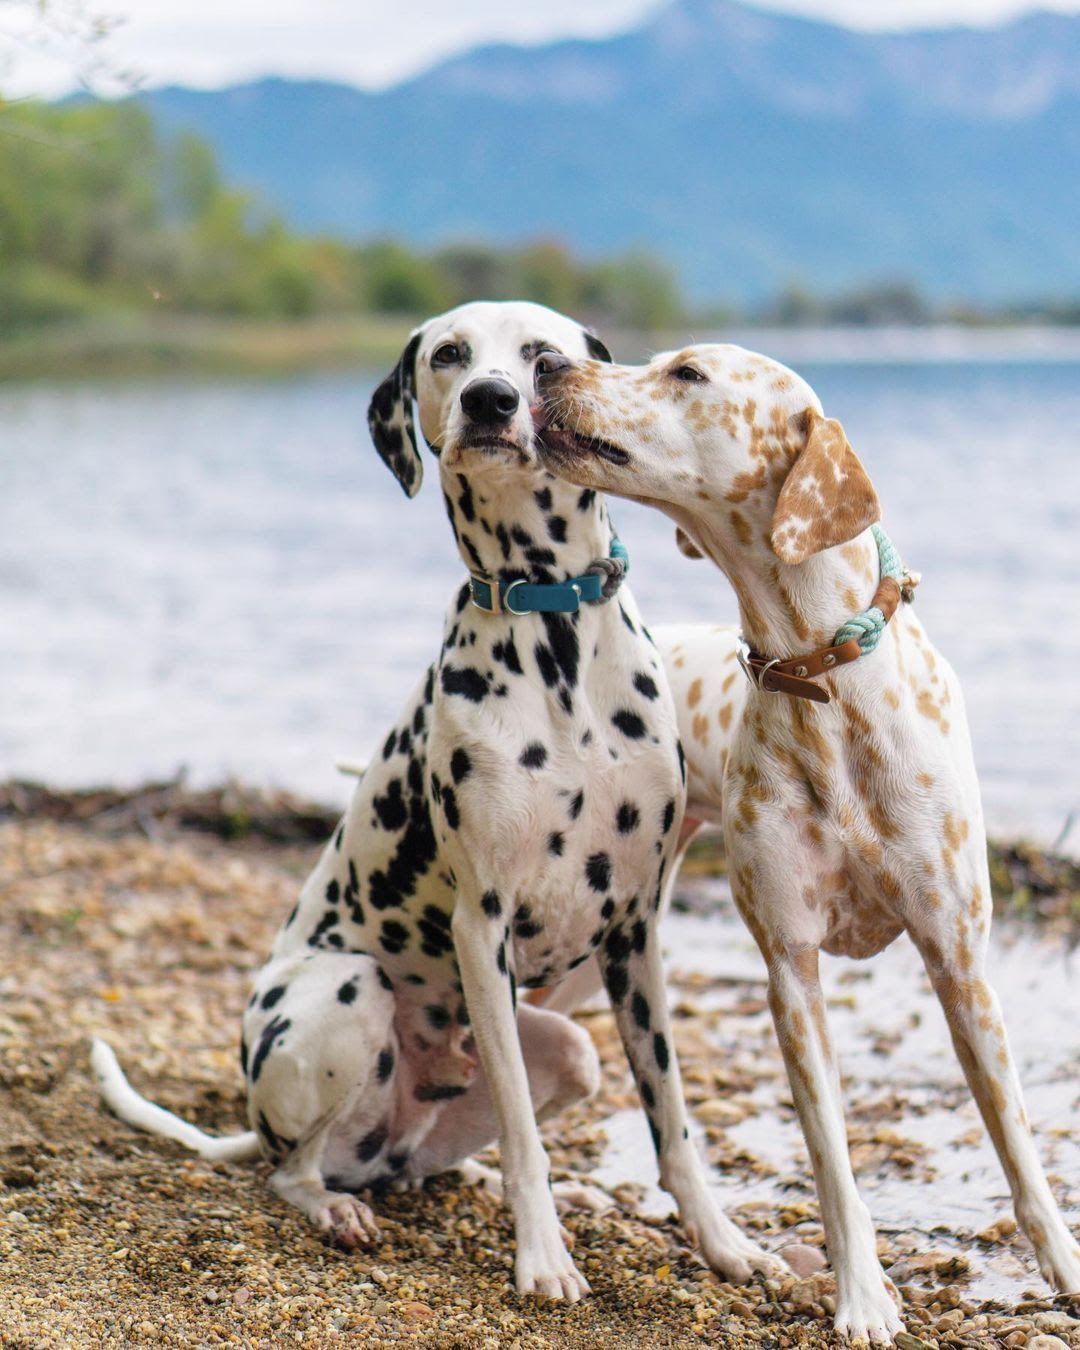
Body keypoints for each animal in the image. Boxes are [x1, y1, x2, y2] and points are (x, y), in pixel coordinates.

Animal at [88, 303, 783, 1296]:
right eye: (450, 353)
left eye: (542, 355)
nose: (491, 399)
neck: (555, 634)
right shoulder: (480, 926)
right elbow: (529, 1135)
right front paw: (543, 1260)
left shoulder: (635, 932)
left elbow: (673, 1120)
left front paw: (724, 1244)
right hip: (346, 993)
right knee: (293, 1170)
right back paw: (336, 1205)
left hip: (562, 1052)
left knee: (425, 1162)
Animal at [537, 340, 1080, 1339]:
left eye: (688, 374)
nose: (551, 360)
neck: (825, 674)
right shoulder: (791, 969)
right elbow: (833, 1164)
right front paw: (863, 1297)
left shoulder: (960, 961)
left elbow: (1018, 1143)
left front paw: (1063, 1264)